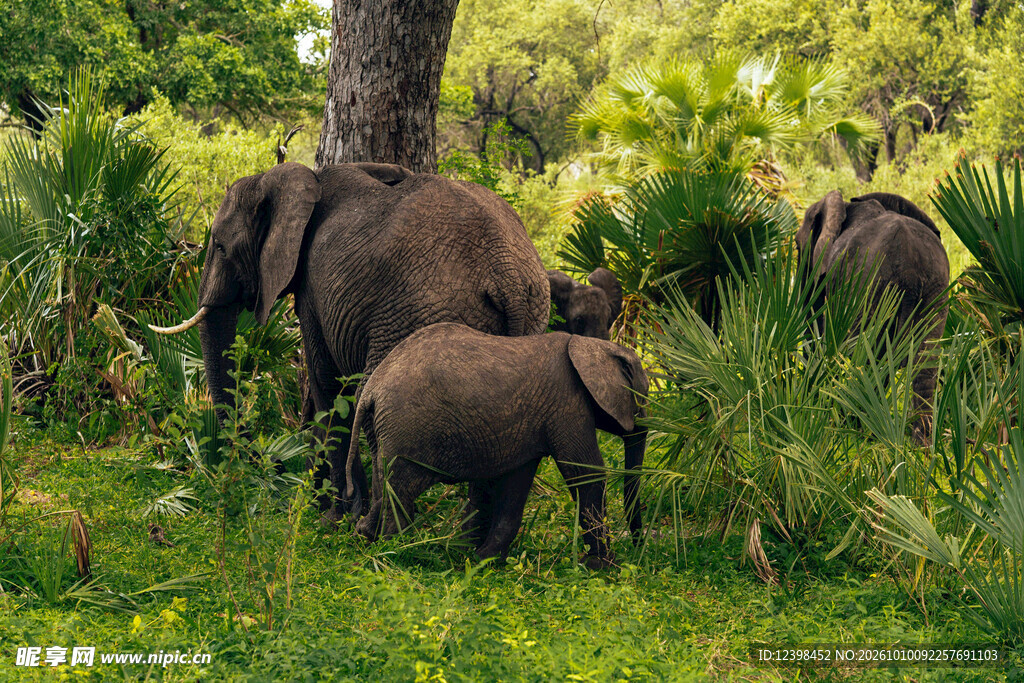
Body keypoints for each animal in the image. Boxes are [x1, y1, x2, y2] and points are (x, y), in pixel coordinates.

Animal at [152, 162, 550, 519]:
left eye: (219, 246)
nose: (275, 464)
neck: (290, 178)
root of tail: (508, 278)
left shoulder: (313, 288)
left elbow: (327, 382)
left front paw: (333, 513)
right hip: (532, 314)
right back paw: (470, 538)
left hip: (418, 314)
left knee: (372, 401)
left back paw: (372, 526)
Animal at [346, 322, 648, 568]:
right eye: (643, 400)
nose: (638, 546)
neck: (592, 344)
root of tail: (371, 388)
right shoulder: (568, 404)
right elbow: (587, 474)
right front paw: (603, 567)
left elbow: (516, 484)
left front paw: (483, 560)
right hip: (408, 428)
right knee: (400, 489)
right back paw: (394, 550)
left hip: (386, 429)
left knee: (383, 480)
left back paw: (366, 536)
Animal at [796, 190, 949, 443]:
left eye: (798, 246)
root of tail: (910, 268)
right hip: (934, 291)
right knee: (924, 362)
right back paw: (919, 445)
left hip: (873, 285)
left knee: (870, 361)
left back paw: (860, 430)